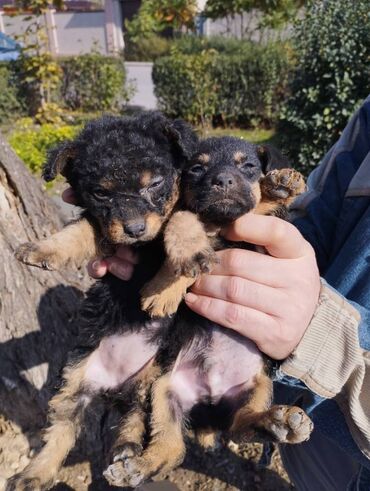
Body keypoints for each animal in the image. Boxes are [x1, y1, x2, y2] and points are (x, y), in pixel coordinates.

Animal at [7, 112, 198, 491]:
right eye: (100, 193)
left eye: (156, 183)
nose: (135, 229)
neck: (143, 248)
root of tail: (115, 384)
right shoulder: (103, 227)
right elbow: (80, 230)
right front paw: (40, 250)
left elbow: (182, 224)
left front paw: (167, 287)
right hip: (75, 378)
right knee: (64, 428)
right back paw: (35, 474)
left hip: (153, 380)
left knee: (140, 420)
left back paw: (128, 454)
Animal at [104, 136, 312, 490]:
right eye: (197, 169)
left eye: (248, 166)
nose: (223, 181)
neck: (219, 224)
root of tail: (210, 400)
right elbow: (184, 227)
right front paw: (162, 291)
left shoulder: (260, 243)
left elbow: (256, 208)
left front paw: (280, 185)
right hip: (165, 392)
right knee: (173, 448)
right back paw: (138, 467)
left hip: (258, 385)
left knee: (242, 425)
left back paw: (277, 421)